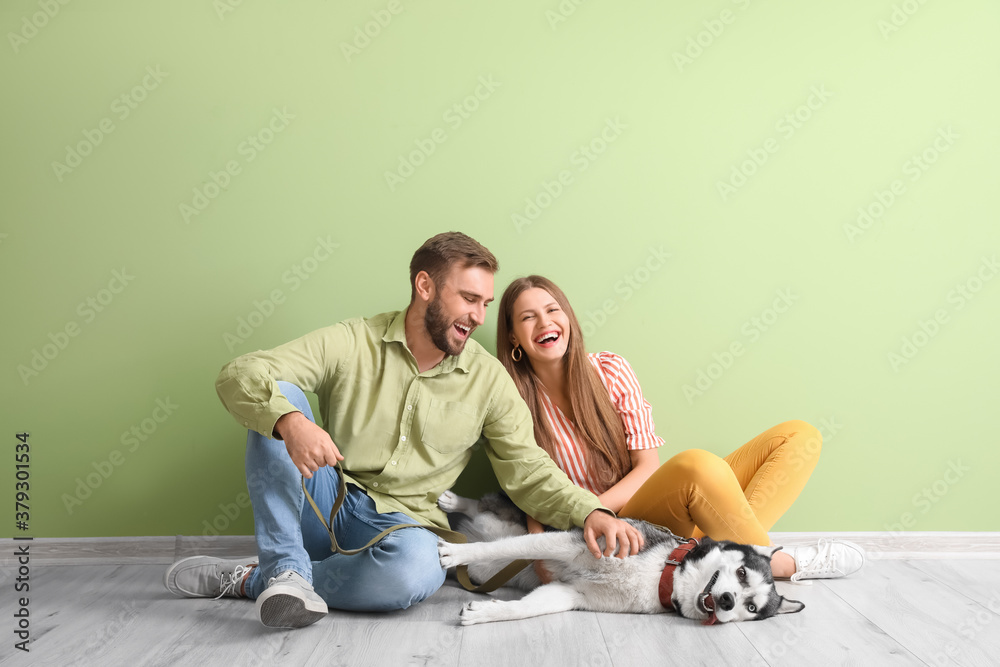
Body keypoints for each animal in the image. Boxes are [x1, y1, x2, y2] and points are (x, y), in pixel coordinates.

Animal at [438, 490, 804, 628]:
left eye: (751, 607)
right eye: (741, 573)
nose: (728, 600)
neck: (662, 574)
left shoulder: (569, 593)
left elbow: (523, 609)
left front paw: (484, 613)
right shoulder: (568, 541)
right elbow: (507, 549)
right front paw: (455, 553)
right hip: (510, 517)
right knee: (484, 509)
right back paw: (455, 503)